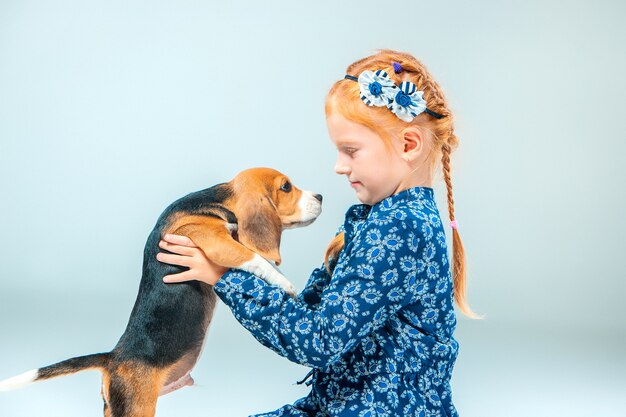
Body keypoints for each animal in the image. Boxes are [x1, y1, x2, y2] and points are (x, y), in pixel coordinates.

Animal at [0, 167, 322, 416]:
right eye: (286, 187)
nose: (320, 196)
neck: (217, 199)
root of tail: (113, 358)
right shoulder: (214, 238)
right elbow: (253, 257)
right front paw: (285, 284)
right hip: (137, 408)